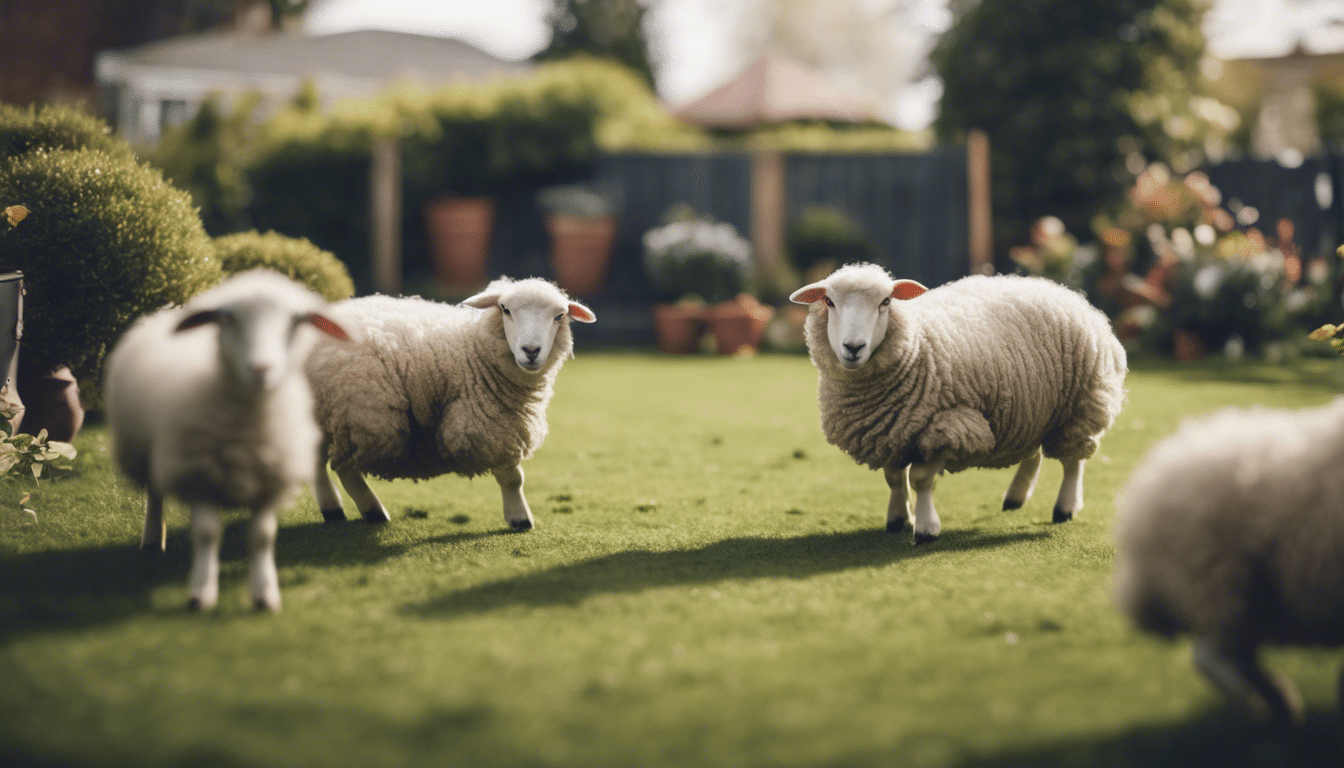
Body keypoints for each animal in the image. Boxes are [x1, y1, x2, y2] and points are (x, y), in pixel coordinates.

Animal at [104, 270, 352, 613]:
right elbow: (207, 534)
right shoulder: (199, 476)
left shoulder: (268, 482)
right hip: (149, 453)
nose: (261, 369)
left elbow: (262, 536)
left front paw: (265, 594)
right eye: (228, 318)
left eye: (295, 321)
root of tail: (165, 312)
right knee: (154, 493)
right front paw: (201, 592)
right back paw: (153, 539)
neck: (247, 427)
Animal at [309, 279, 599, 532]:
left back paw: (334, 509)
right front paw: (520, 519)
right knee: (345, 468)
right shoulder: (489, 427)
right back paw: (372, 511)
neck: (474, 350)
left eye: (559, 316)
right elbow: (512, 478)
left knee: (317, 463)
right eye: (505, 309)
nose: (531, 350)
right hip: (362, 412)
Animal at [790, 267, 1128, 543]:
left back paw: (1064, 508)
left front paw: (925, 529)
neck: (918, 344)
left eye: (885, 302)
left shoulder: (949, 425)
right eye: (829, 301)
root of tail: (1060, 289)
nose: (853, 347)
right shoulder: (890, 431)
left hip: (1079, 406)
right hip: (1031, 407)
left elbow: (920, 479)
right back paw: (1015, 497)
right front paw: (897, 519)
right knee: (1033, 453)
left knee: (1073, 461)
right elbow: (894, 478)